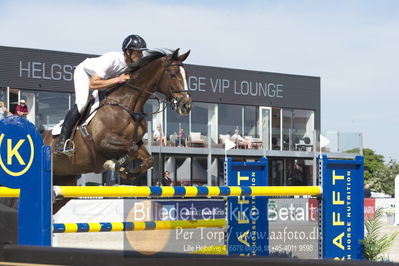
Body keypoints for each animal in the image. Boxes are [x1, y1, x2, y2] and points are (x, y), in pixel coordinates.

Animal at [43, 48, 193, 213]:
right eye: (173, 74)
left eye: (186, 75)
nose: (186, 106)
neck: (127, 105)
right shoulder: (103, 143)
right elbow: (131, 149)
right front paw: (115, 165)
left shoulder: (137, 141)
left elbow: (148, 159)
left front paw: (126, 170)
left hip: (66, 181)